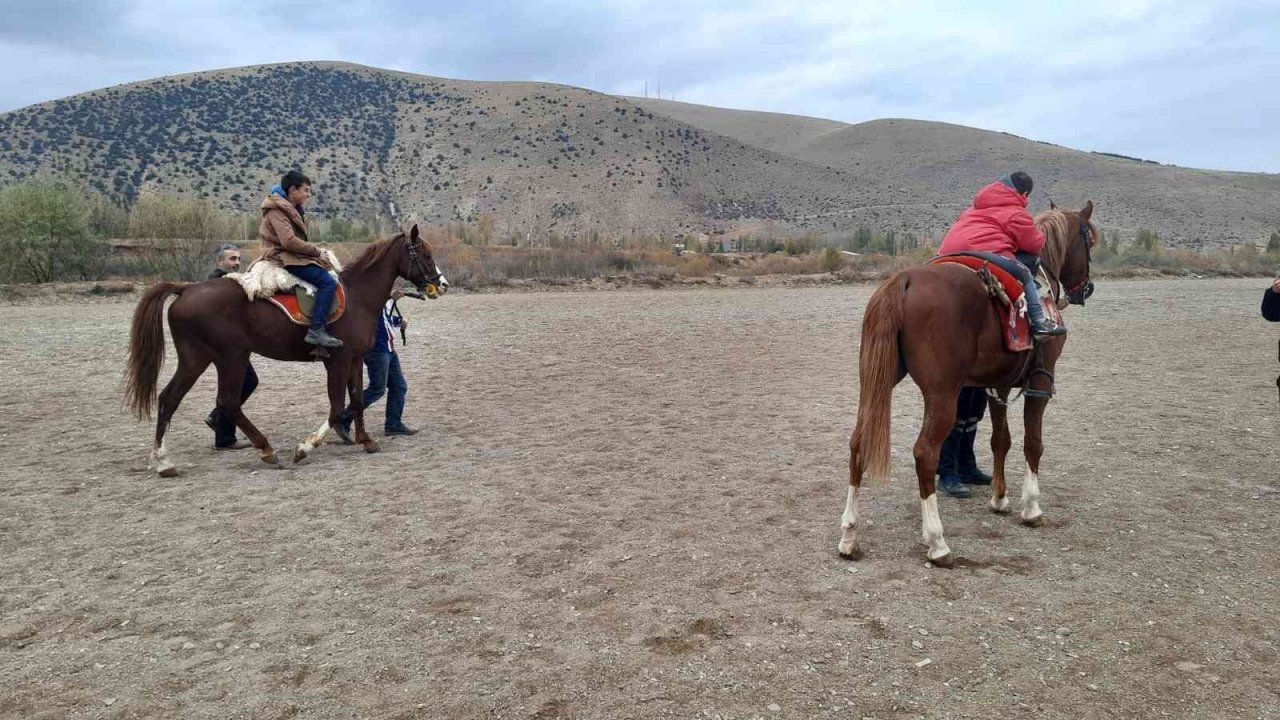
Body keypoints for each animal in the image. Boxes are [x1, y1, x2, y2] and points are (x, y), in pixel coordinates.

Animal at [124, 221, 445, 474]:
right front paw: (305, 448)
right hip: (231, 358)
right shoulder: (338, 362)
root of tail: (186, 289)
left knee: (169, 399)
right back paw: (266, 449)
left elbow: (355, 400)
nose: (441, 284)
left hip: (197, 359)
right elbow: (335, 407)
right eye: (426, 254)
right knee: (227, 402)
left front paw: (366, 440)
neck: (358, 296)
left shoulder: (354, 361)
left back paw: (164, 462)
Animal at [834, 199, 1095, 561]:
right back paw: (937, 542)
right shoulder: (1040, 383)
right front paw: (1031, 508)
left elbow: (1001, 440)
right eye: (1090, 240)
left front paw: (999, 498)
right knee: (925, 453)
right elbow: (1033, 443)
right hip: (942, 394)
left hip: (876, 382)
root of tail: (904, 280)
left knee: (858, 444)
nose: (1086, 288)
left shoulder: (997, 385)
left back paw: (849, 536)